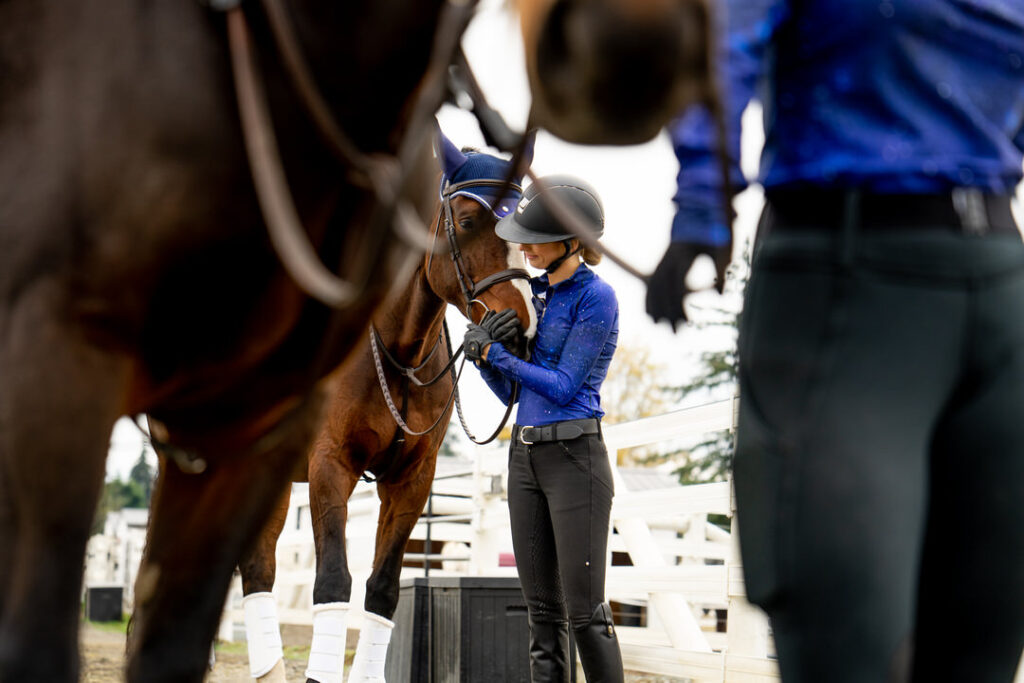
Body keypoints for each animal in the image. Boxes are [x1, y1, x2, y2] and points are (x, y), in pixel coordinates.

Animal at [234, 136, 536, 679]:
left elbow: (382, 589)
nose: (521, 328)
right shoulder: (331, 464)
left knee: (258, 568)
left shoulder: (411, 480)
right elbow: (334, 581)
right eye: (466, 221)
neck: (398, 350)